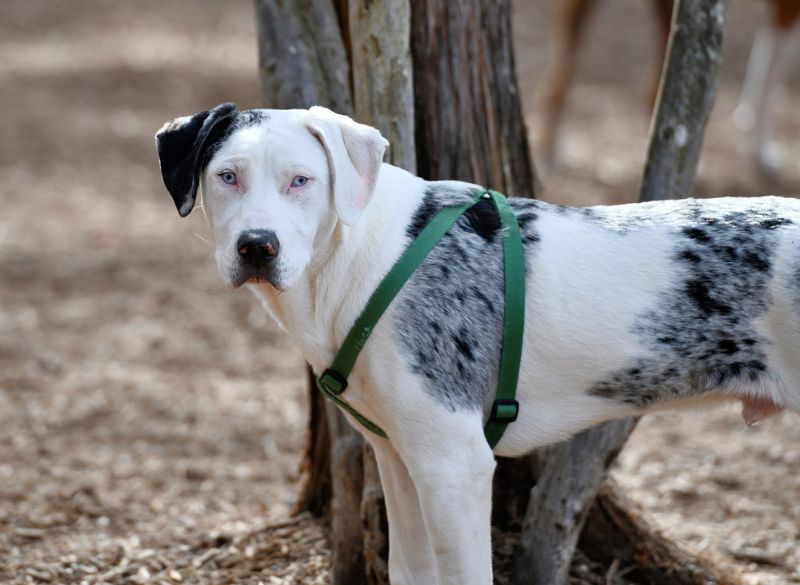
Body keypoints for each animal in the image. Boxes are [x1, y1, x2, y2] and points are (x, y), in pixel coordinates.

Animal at [156, 105, 800, 584]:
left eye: (301, 180)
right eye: (227, 176)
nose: (256, 246)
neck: (366, 257)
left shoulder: (455, 464)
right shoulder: (399, 458)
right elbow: (410, 571)